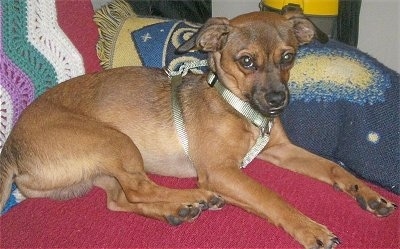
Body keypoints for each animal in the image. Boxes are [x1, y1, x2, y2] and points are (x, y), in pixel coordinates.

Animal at [0, 6, 396, 249]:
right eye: (246, 61)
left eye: (289, 57)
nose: (277, 100)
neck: (236, 106)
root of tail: (11, 150)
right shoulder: (219, 172)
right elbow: (271, 197)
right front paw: (309, 228)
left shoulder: (280, 151)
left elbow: (333, 167)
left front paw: (366, 193)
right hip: (115, 141)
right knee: (140, 188)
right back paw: (194, 199)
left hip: (106, 169)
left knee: (121, 199)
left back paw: (178, 210)